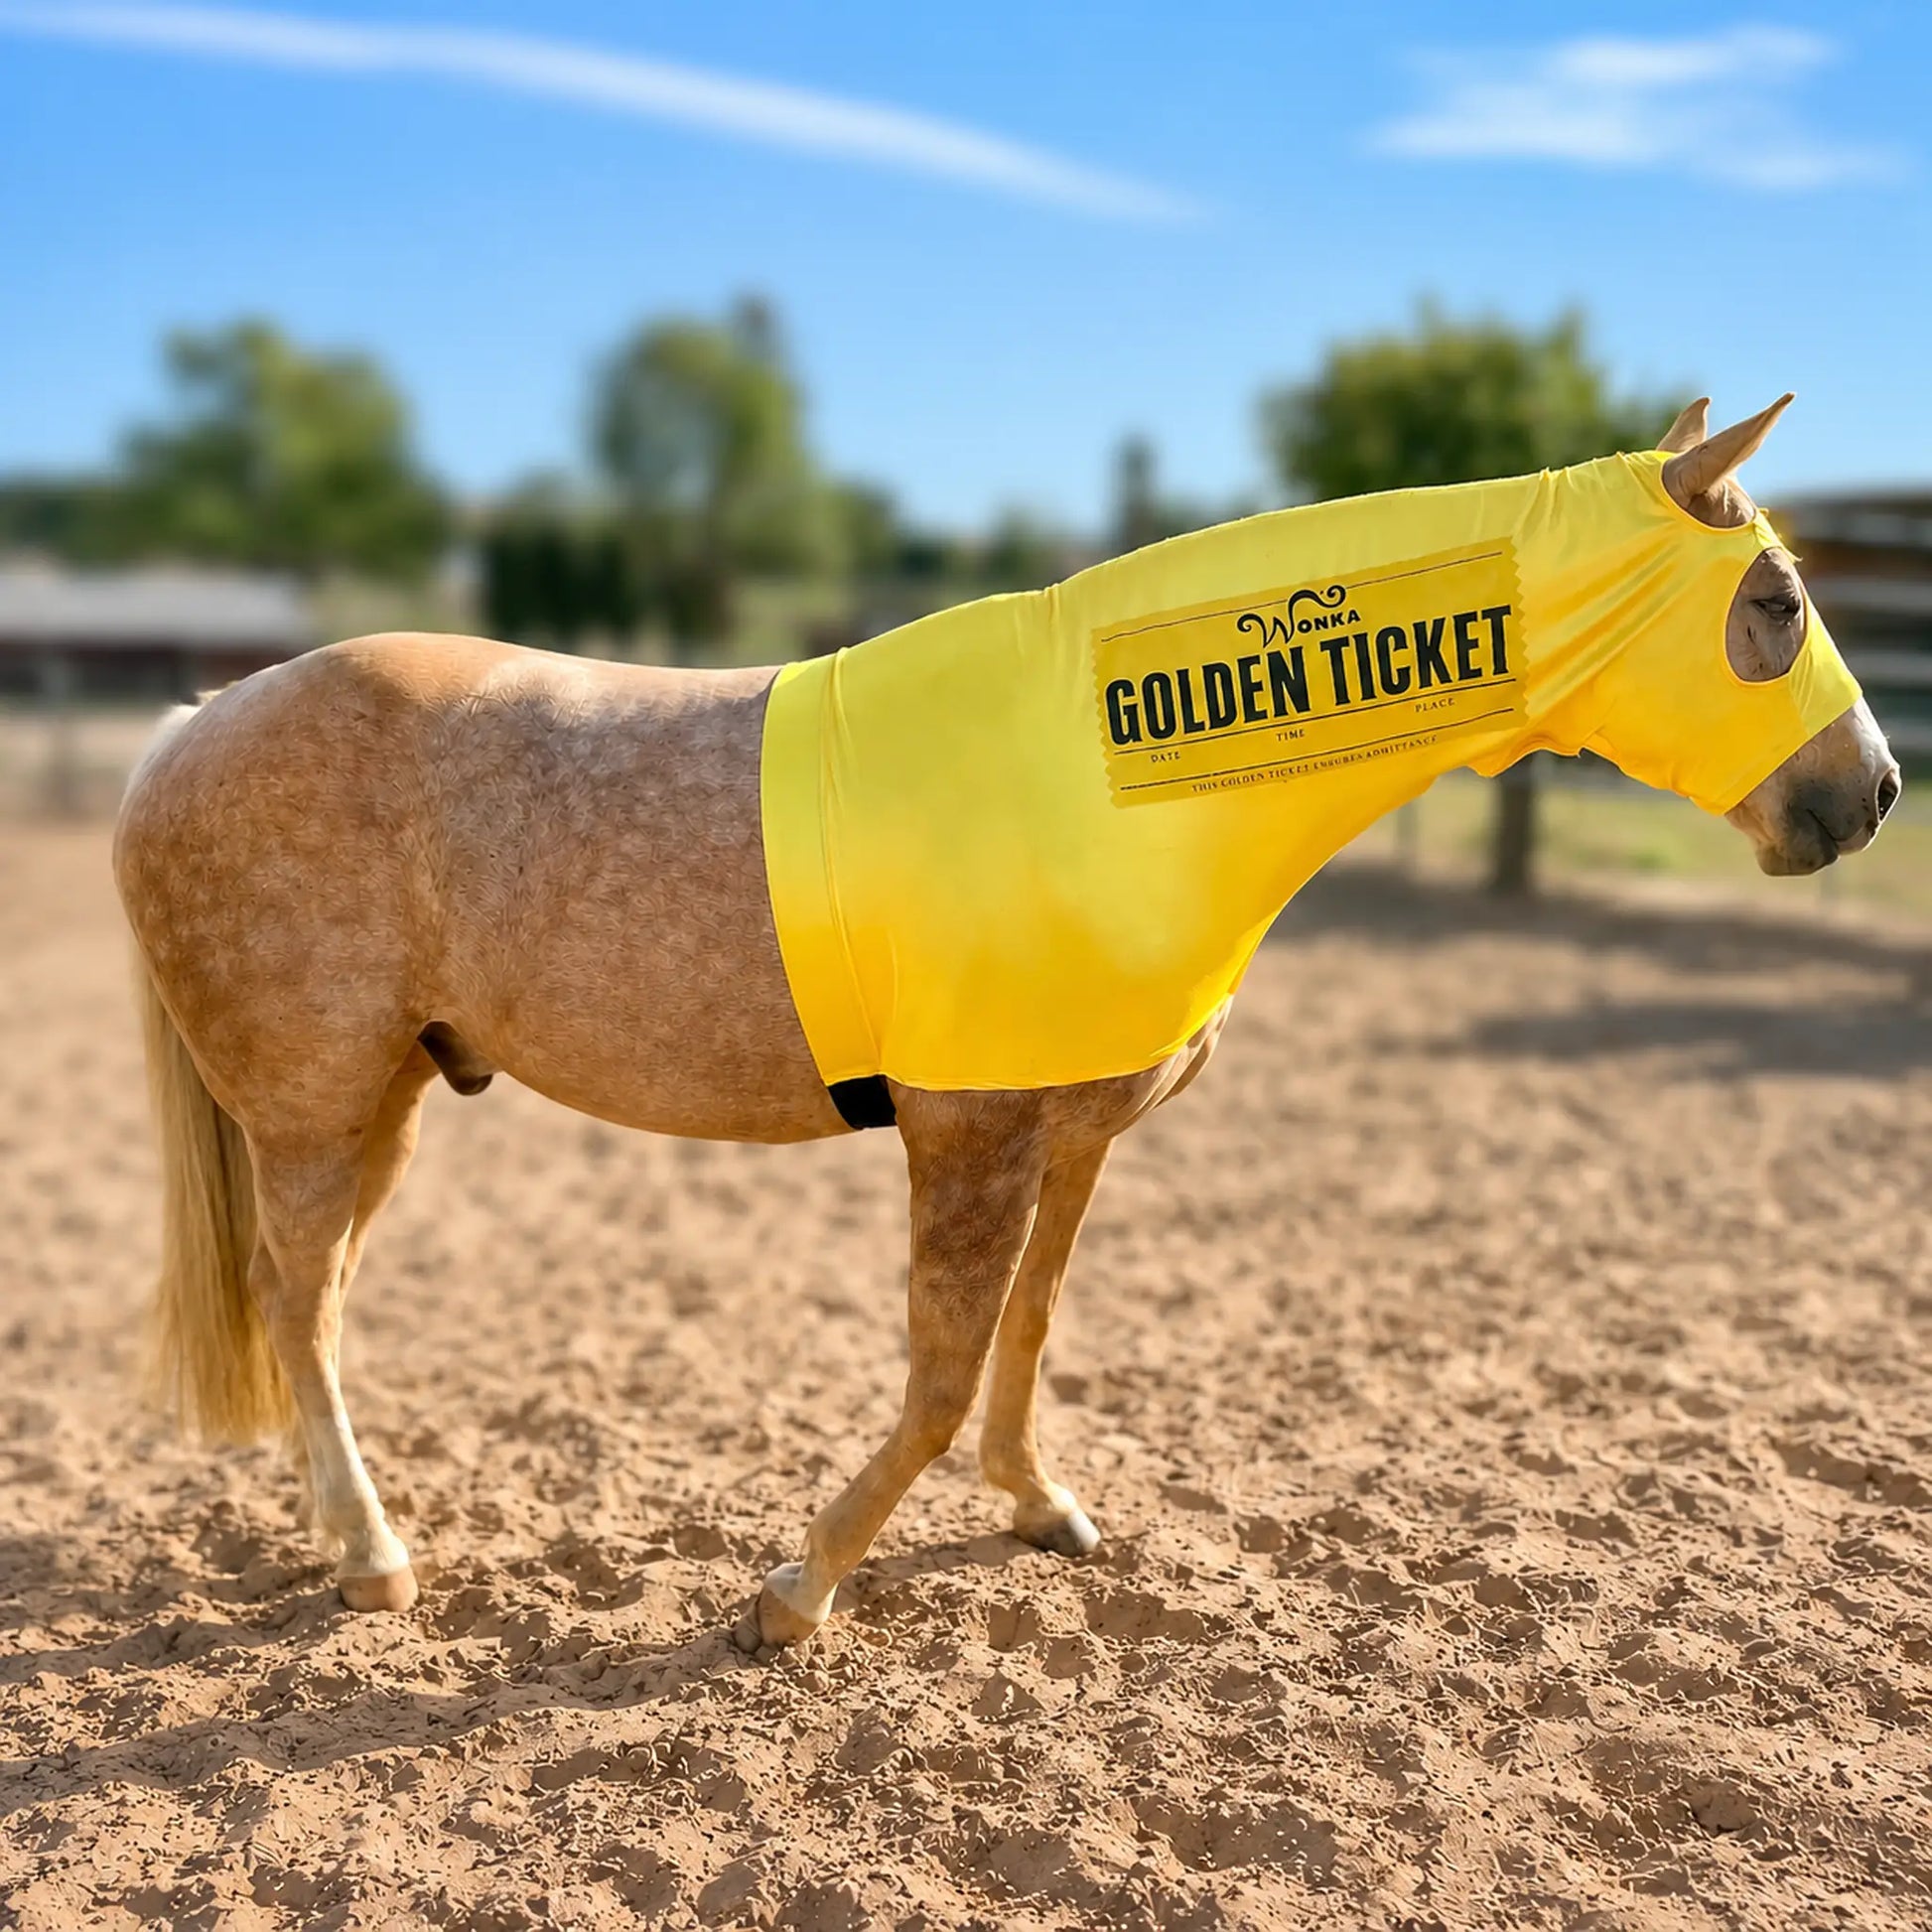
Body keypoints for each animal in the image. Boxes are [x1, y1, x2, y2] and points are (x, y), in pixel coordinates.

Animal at [114, 398, 1898, 1648]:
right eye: (1775, 599)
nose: (1871, 795)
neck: (1109, 769)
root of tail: (188, 726)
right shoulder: (964, 1132)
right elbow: (936, 1369)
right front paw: (797, 1593)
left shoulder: (1074, 1131)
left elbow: (1025, 1336)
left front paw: (1035, 1507)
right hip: (318, 1109)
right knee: (299, 1308)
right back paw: (373, 1558)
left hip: (389, 1100)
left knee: (313, 1307)